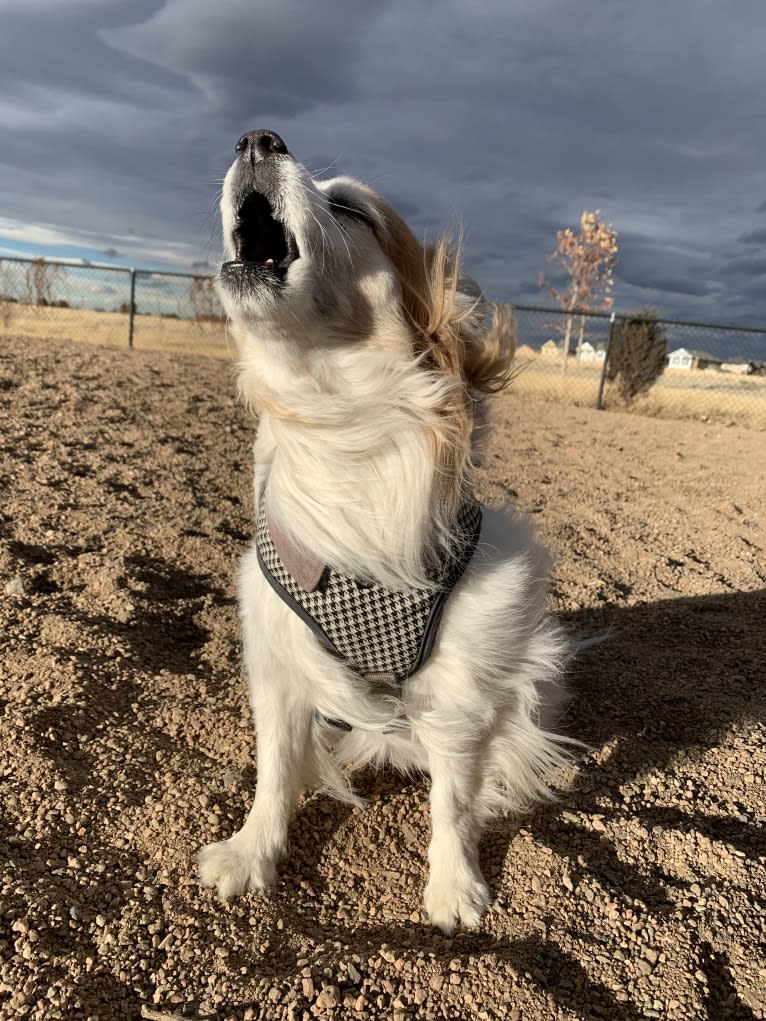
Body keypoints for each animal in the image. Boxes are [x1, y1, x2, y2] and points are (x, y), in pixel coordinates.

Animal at [198, 129, 576, 935]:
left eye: (349, 209)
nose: (257, 137)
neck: (344, 433)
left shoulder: (460, 685)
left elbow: (453, 800)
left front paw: (454, 885)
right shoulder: (280, 661)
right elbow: (275, 769)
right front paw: (251, 853)